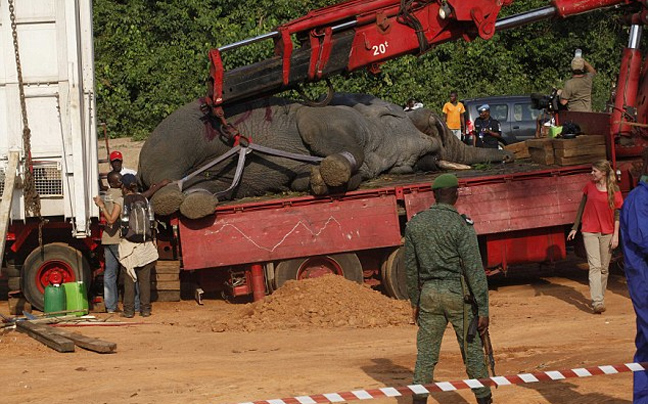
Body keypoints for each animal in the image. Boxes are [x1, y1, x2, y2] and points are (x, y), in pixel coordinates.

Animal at [139, 92, 512, 219]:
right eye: (435, 128)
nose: (507, 157)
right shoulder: (335, 115)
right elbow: (320, 127)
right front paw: (331, 170)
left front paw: (317, 181)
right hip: (176, 137)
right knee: (165, 181)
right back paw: (174, 196)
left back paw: (198, 199)